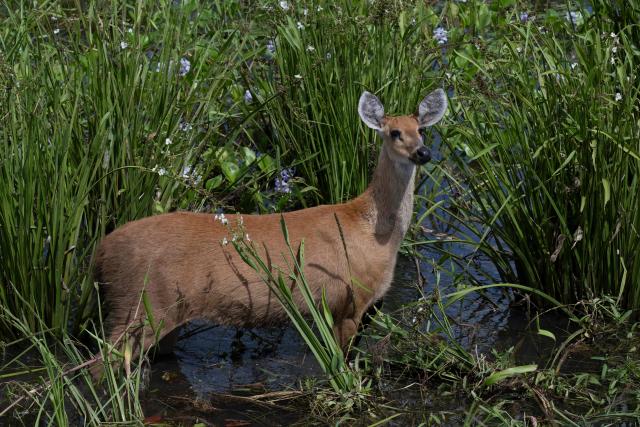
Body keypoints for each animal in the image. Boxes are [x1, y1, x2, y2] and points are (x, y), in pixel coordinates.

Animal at [91, 88, 447, 379]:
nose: (423, 153)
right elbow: (340, 366)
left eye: (422, 130)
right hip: (140, 301)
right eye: (394, 132)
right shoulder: (349, 299)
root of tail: (101, 250)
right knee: (101, 364)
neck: (373, 232)